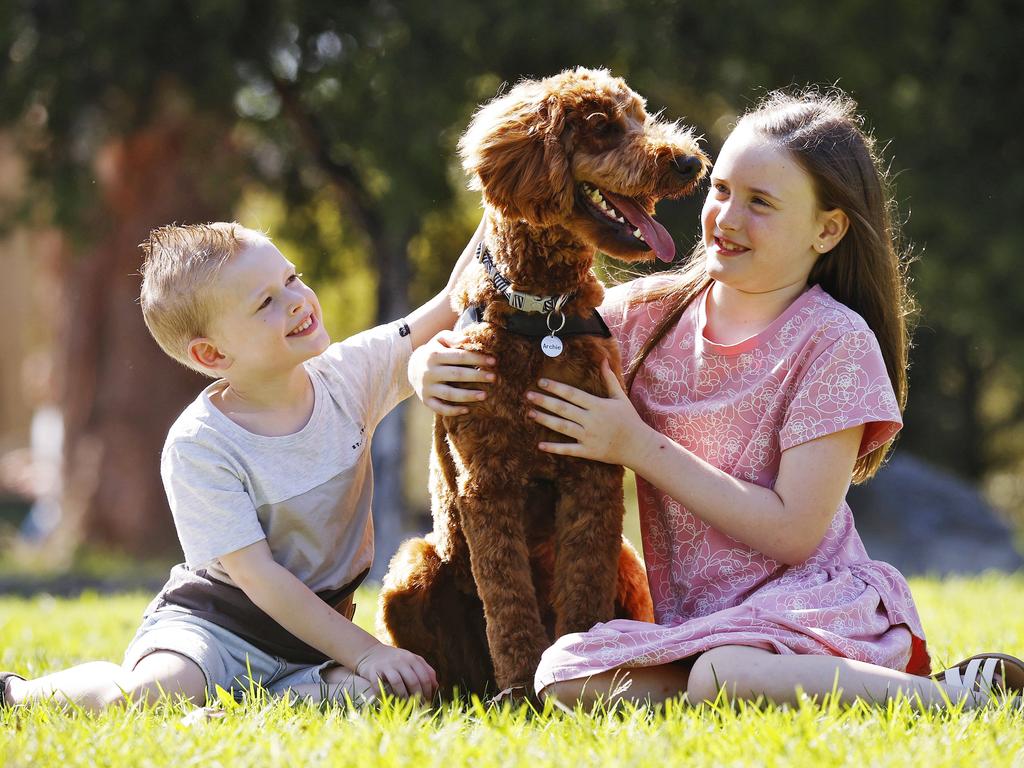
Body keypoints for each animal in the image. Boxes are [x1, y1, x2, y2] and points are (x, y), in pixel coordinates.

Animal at [376, 69, 704, 700]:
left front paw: (576, 659)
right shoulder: (488, 481)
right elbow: (507, 600)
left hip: (628, 561)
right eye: (601, 127)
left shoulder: (592, 471)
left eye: (641, 116)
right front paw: (523, 687)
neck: (542, 315)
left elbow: (582, 590)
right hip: (409, 569)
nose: (687, 162)